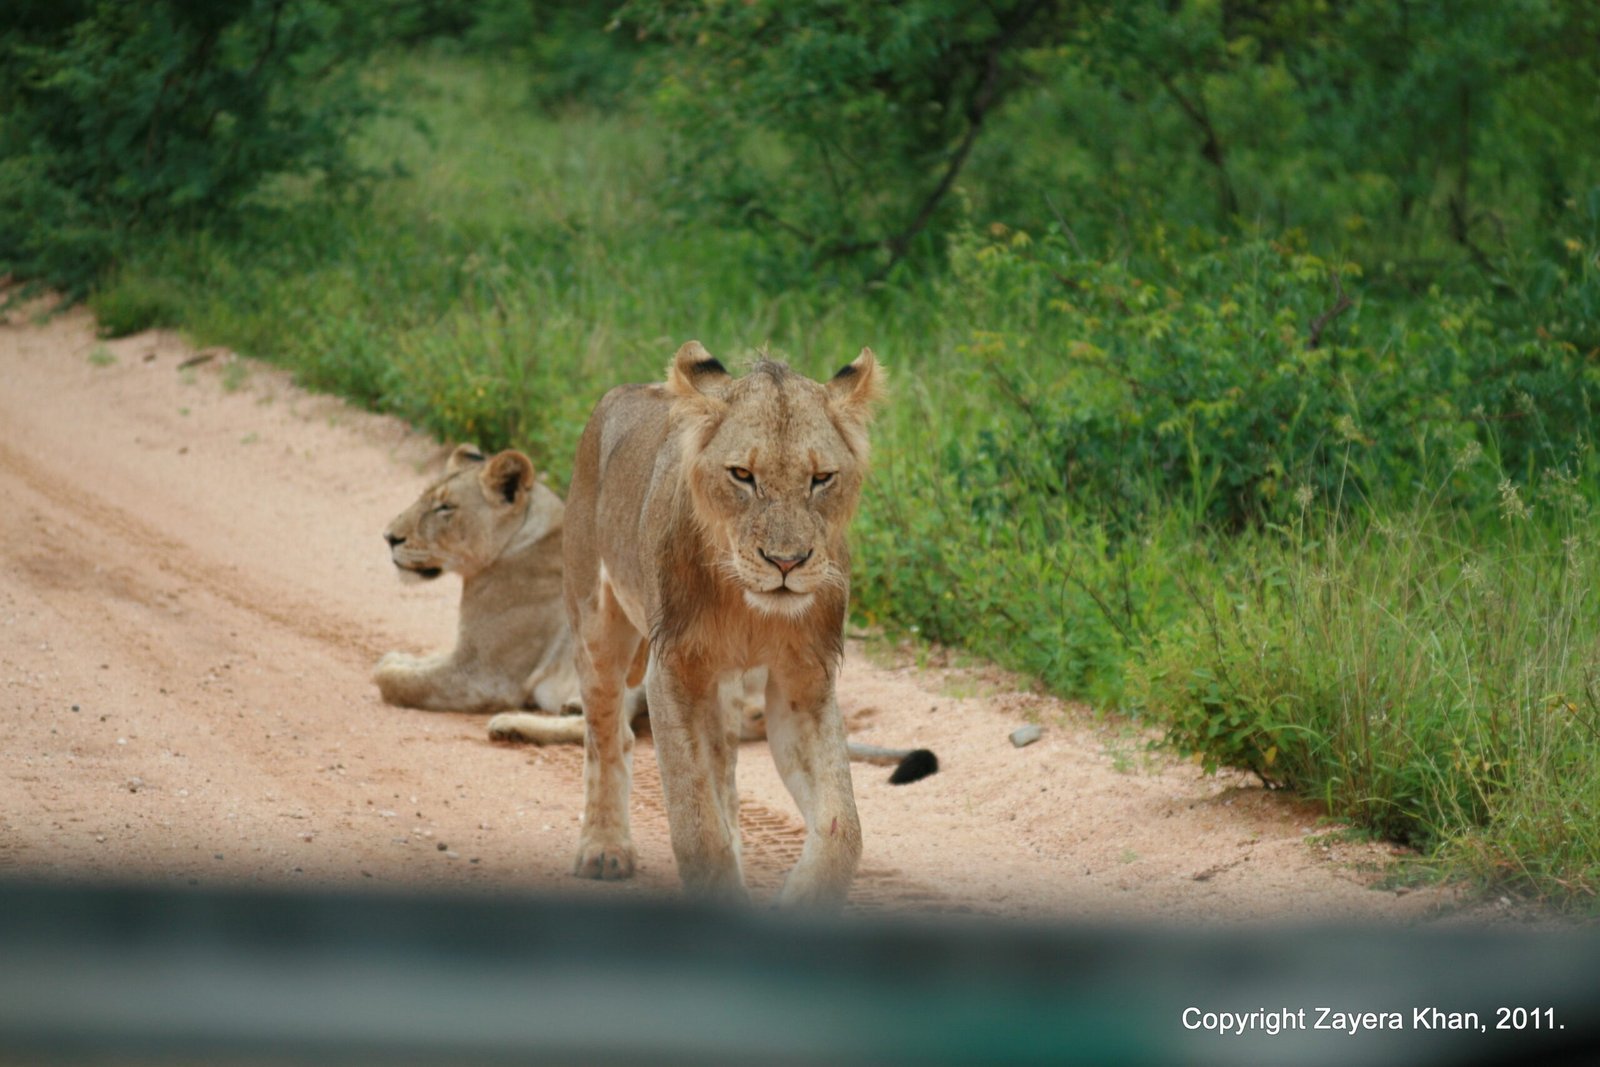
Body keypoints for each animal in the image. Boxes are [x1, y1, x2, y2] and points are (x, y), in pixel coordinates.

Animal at [562, 341, 884, 907]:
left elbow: (842, 828)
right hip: (597, 623)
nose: (786, 562)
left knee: (723, 769)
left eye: (821, 479)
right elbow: (697, 823)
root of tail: (620, 393)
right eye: (742, 475)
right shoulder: (673, 671)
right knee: (607, 735)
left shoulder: (804, 683)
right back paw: (603, 847)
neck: (748, 608)